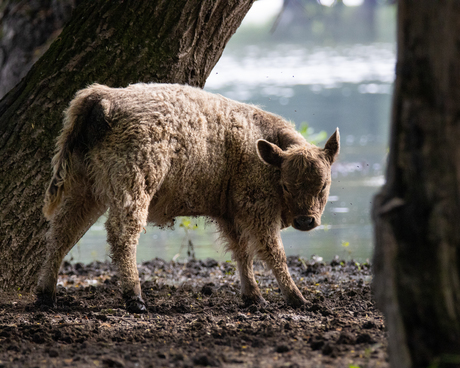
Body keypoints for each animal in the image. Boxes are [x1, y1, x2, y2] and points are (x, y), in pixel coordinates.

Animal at [39, 82, 340, 312]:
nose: (306, 221)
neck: (266, 154)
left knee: (61, 233)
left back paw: (45, 295)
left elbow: (242, 254)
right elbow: (274, 253)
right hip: (134, 189)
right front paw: (298, 299)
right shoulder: (258, 212)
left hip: (85, 191)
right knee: (122, 235)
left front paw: (254, 297)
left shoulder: (231, 216)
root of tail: (105, 95)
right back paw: (135, 299)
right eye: (286, 186)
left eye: (324, 185)